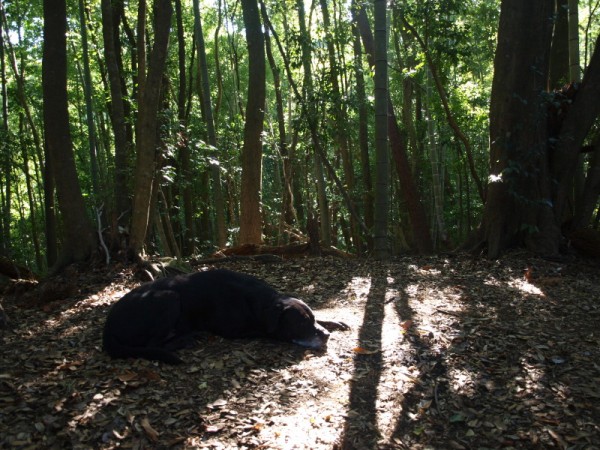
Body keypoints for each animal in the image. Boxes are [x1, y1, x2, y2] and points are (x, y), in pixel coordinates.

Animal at [102, 268, 346, 364]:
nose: (325, 336)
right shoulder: (235, 329)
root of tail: (107, 326)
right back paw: (185, 339)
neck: (255, 301)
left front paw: (334, 322)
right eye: (300, 324)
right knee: (154, 343)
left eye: (310, 319)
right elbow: (270, 332)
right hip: (168, 297)